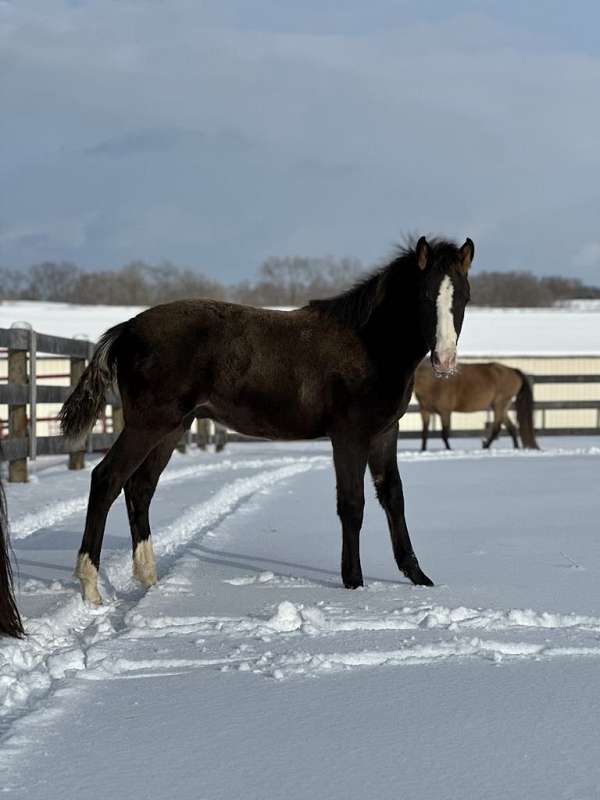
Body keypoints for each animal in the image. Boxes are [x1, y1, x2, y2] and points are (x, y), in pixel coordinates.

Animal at [58, 234, 476, 604]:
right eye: (424, 296)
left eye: (464, 297)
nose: (445, 362)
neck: (370, 346)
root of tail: (128, 329)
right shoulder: (349, 436)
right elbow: (352, 504)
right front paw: (354, 583)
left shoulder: (385, 432)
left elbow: (393, 497)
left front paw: (418, 577)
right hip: (148, 424)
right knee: (107, 479)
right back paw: (91, 588)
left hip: (172, 427)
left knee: (140, 488)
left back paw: (148, 580)